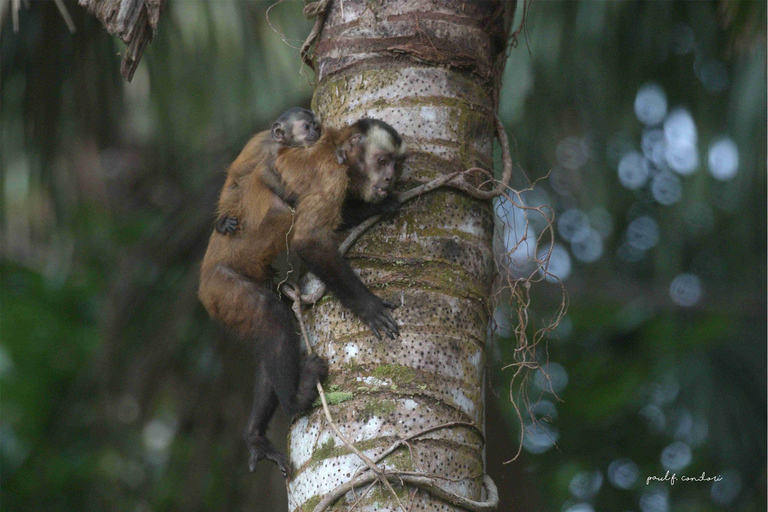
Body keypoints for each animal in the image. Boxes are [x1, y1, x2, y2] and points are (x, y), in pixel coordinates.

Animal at [213, 109, 318, 237]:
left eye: (316, 128)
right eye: (306, 127)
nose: (314, 134)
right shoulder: (275, 149)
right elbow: (264, 172)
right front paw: (297, 199)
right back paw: (222, 223)